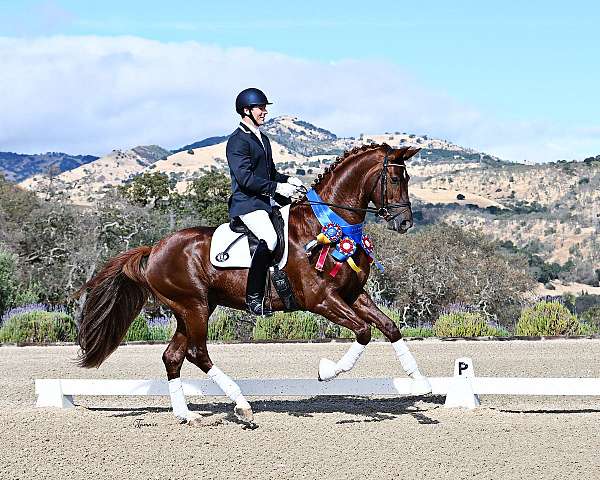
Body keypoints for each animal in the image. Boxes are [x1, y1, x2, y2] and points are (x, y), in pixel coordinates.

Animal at [76, 142, 432, 424]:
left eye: (407, 178)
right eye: (395, 178)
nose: (404, 223)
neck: (328, 225)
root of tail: (154, 249)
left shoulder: (353, 294)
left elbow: (390, 327)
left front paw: (421, 381)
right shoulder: (320, 299)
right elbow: (363, 332)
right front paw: (326, 371)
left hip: (191, 309)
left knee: (173, 356)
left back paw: (187, 414)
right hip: (194, 307)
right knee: (197, 353)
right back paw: (242, 406)